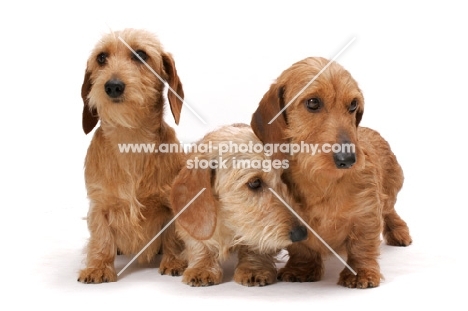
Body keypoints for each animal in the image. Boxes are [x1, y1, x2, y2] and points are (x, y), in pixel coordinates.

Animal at [77, 28, 186, 282]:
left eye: (140, 54)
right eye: (101, 58)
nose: (113, 86)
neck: (130, 138)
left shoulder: (171, 204)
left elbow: (173, 237)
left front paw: (174, 261)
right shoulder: (99, 204)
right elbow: (101, 238)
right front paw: (98, 266)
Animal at [252, 56, 410, 290]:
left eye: (353, 104)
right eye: (313, 102)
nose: (348, 159)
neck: (321, 179)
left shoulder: (367, 213)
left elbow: (362, 245)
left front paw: (360, 273)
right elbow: (302, 248)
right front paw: (302, 269)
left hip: (389, 192)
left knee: (390, 211)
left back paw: (399, 232)